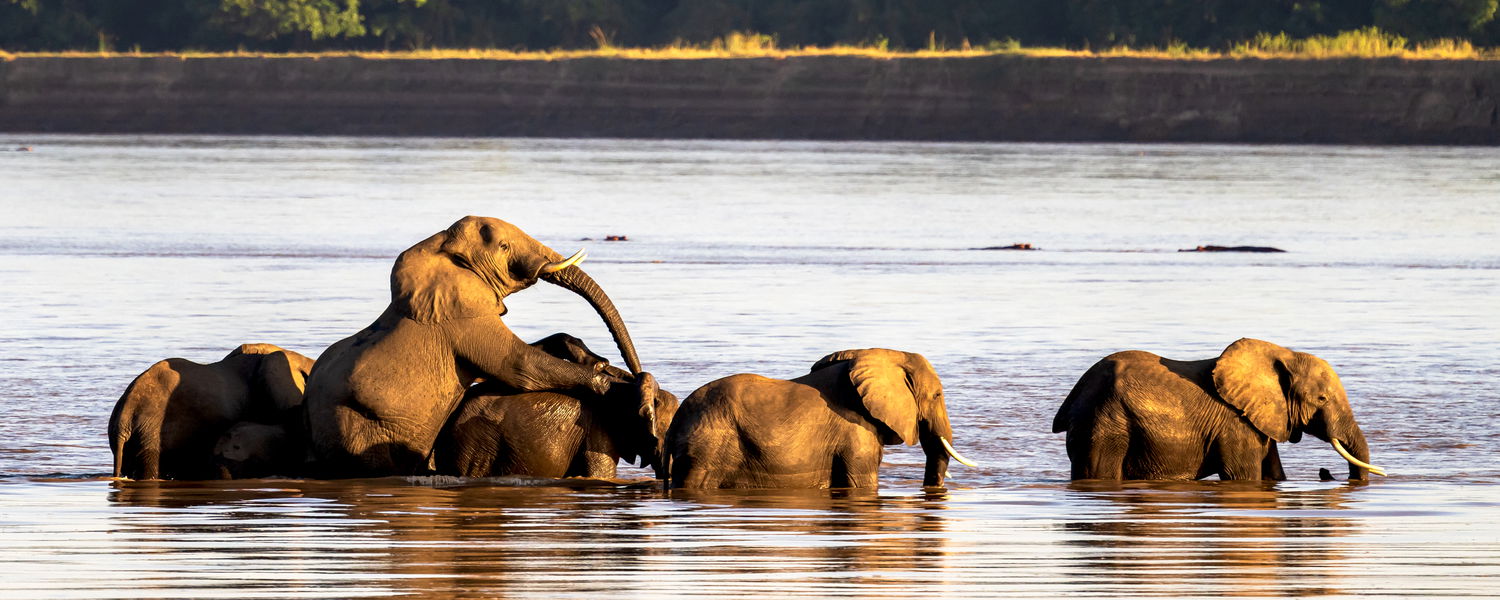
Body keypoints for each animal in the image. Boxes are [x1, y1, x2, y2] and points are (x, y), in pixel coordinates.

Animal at [304, 217, 657, 477]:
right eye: (503, 246)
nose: (636, 368)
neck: (440, 246)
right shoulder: (461, 318)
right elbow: (520, 366)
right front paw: (617, 385)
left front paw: (588, 356)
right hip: (356, 428)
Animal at [1056, 337, 1380, 483]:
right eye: (1322, 399)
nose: (1324, 471)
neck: (1283, 354)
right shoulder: (1235, 425)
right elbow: (1245, 477)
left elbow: (1274, 474)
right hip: (1105, 423)